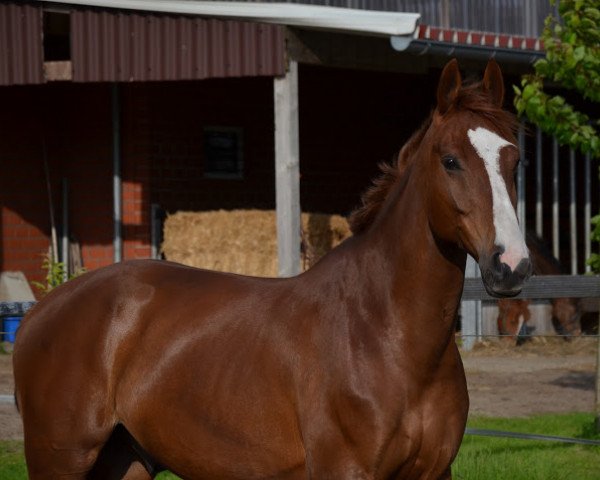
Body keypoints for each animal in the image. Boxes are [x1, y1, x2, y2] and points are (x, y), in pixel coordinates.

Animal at [12, 61, 528, 480]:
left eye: (515, 160)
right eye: (450, 160)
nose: (511, 265)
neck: (386, 335)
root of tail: (41, 311)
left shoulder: (434, 472)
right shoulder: (345, 470)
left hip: (127, 461)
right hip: (61, 459)